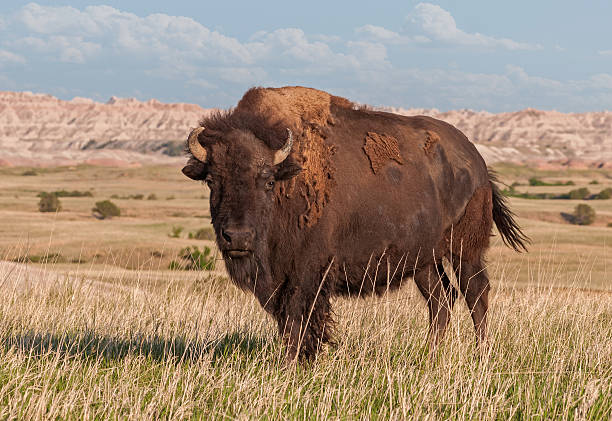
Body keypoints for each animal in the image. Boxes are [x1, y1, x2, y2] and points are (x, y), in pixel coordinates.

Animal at [180, 86, 524, 360]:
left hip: (465, 249)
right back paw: (431, 357)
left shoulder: (307, 271)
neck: (287, 175)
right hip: (424, 260)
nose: (237, 237)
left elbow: (299, 319)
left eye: (267, 180)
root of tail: (477, 164)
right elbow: (288, 321)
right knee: (441, 300)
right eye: (211, 180)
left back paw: (481, 357)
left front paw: (293, 365)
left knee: (476, 294)